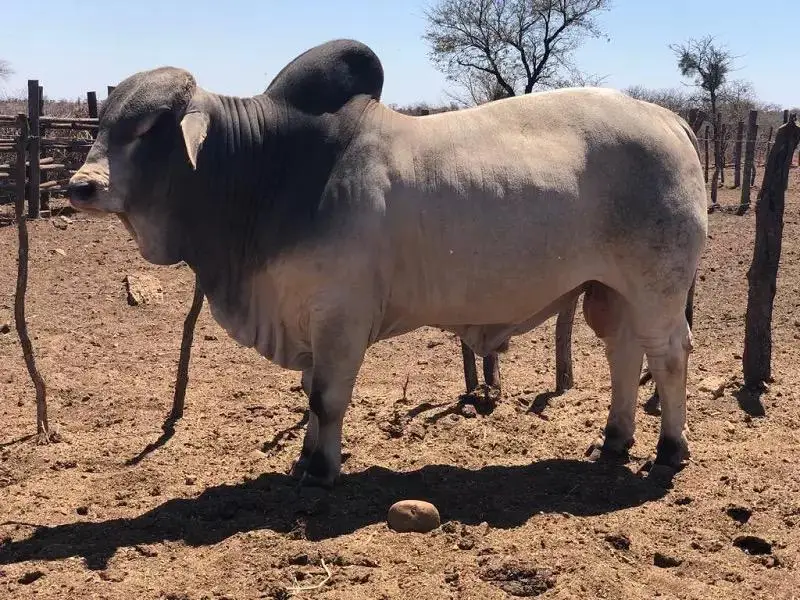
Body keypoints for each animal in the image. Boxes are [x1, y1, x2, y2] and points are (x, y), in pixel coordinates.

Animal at [68, 39, 707, 488]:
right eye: (103, 124)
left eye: (147, 128)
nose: (81, 187)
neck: (270, 167)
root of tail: (668, 118)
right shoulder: (310, 319)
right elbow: (311, 394)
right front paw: (307, 459)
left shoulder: (341, 315)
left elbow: (327, 398)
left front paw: (322, 472)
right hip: (609, 290)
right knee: (625, 355)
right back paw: (615, 440)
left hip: (657, 288)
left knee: (669, 355)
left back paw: (669, 450)